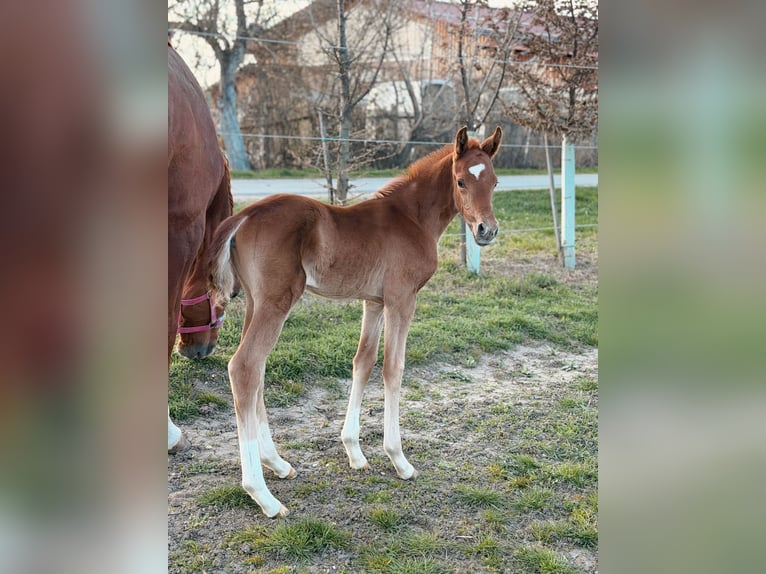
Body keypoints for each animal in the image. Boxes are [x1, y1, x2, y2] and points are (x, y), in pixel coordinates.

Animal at [206, 126, 503, 517]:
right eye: (461, 181)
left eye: (494, 182)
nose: (486, 231)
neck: (411, 218)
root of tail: (244, 216)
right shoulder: (401, 299)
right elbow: (393, 367)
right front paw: (399, 459)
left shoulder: (374, 302)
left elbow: (363, 362)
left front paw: (354, 451)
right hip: (276, 302)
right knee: (244, 366)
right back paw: (263, 495)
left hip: (256, 302)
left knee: (257, 370)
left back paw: (278, 464)